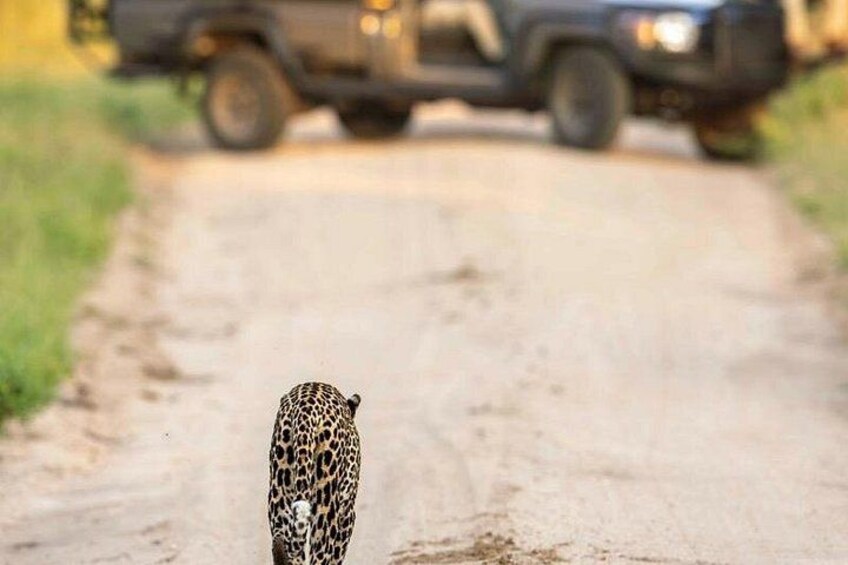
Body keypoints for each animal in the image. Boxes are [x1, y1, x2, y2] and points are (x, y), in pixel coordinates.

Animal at [269, 382, 362, 565]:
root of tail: (305, 409)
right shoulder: (347, 514)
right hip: (326, 503)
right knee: (320, 555)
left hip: (280, 490)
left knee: (283, 542)